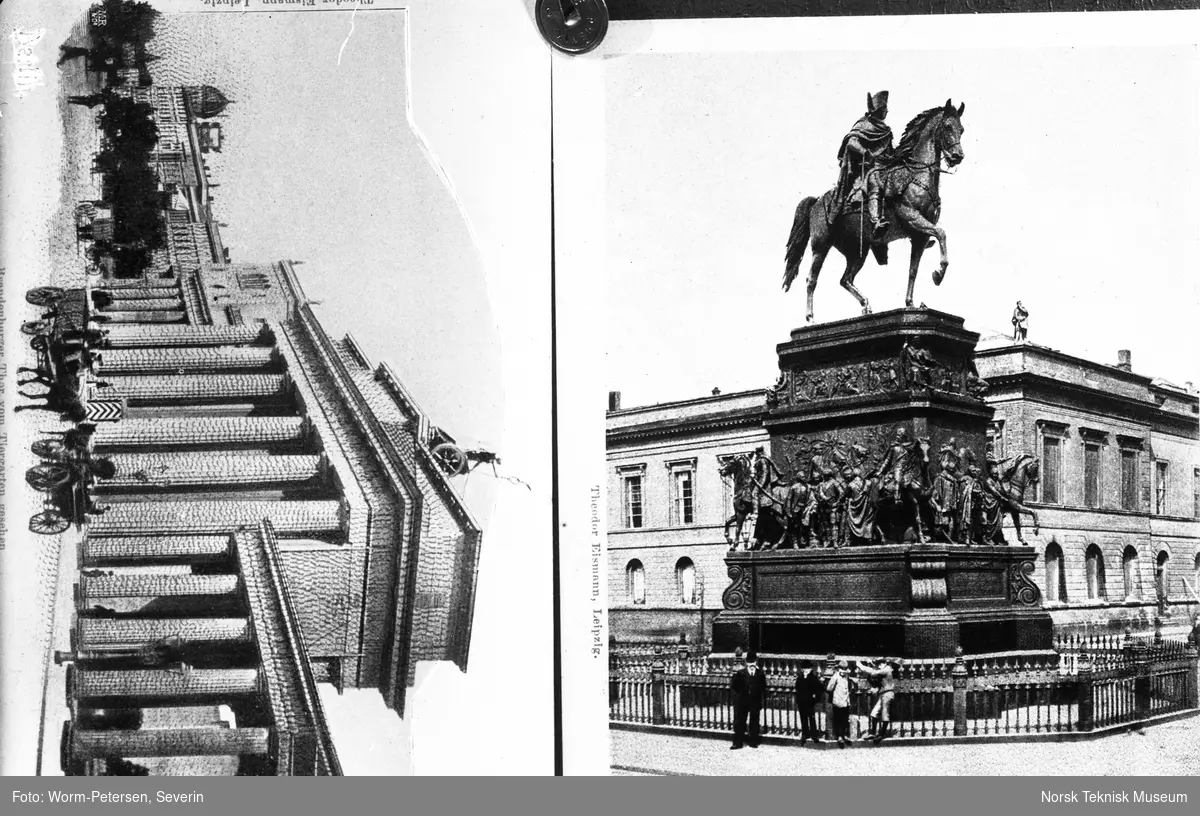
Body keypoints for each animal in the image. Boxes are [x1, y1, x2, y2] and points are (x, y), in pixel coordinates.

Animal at [787, 99, 964, 321]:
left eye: (962, 129)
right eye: (947, 126)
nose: (958, 156)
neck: (915, 176)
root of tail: (818, 201)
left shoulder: (919, 236)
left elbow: (913, 270)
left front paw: (910, 303)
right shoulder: (913, 218)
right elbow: (941, 233)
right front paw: (938, 274)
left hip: (857, 252)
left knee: (845, 279)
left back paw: (866, 306)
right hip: (821, 246)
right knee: (811, 279)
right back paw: (810, 318)